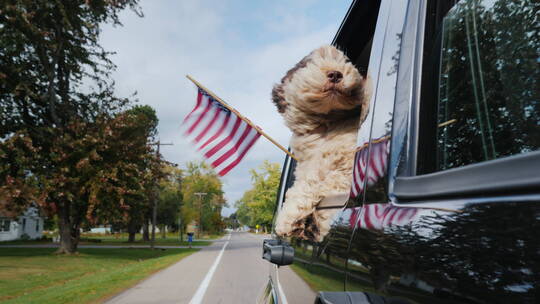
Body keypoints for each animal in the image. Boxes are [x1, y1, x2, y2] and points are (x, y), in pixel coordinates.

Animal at [272, 44, 370, 242]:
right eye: (309, 63)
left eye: (344, 61)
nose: (335, 74)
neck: (327, 122)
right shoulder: (308, 165)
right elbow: (305, 182)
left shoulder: (348, 166)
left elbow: (318, 182)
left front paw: (288, 220)